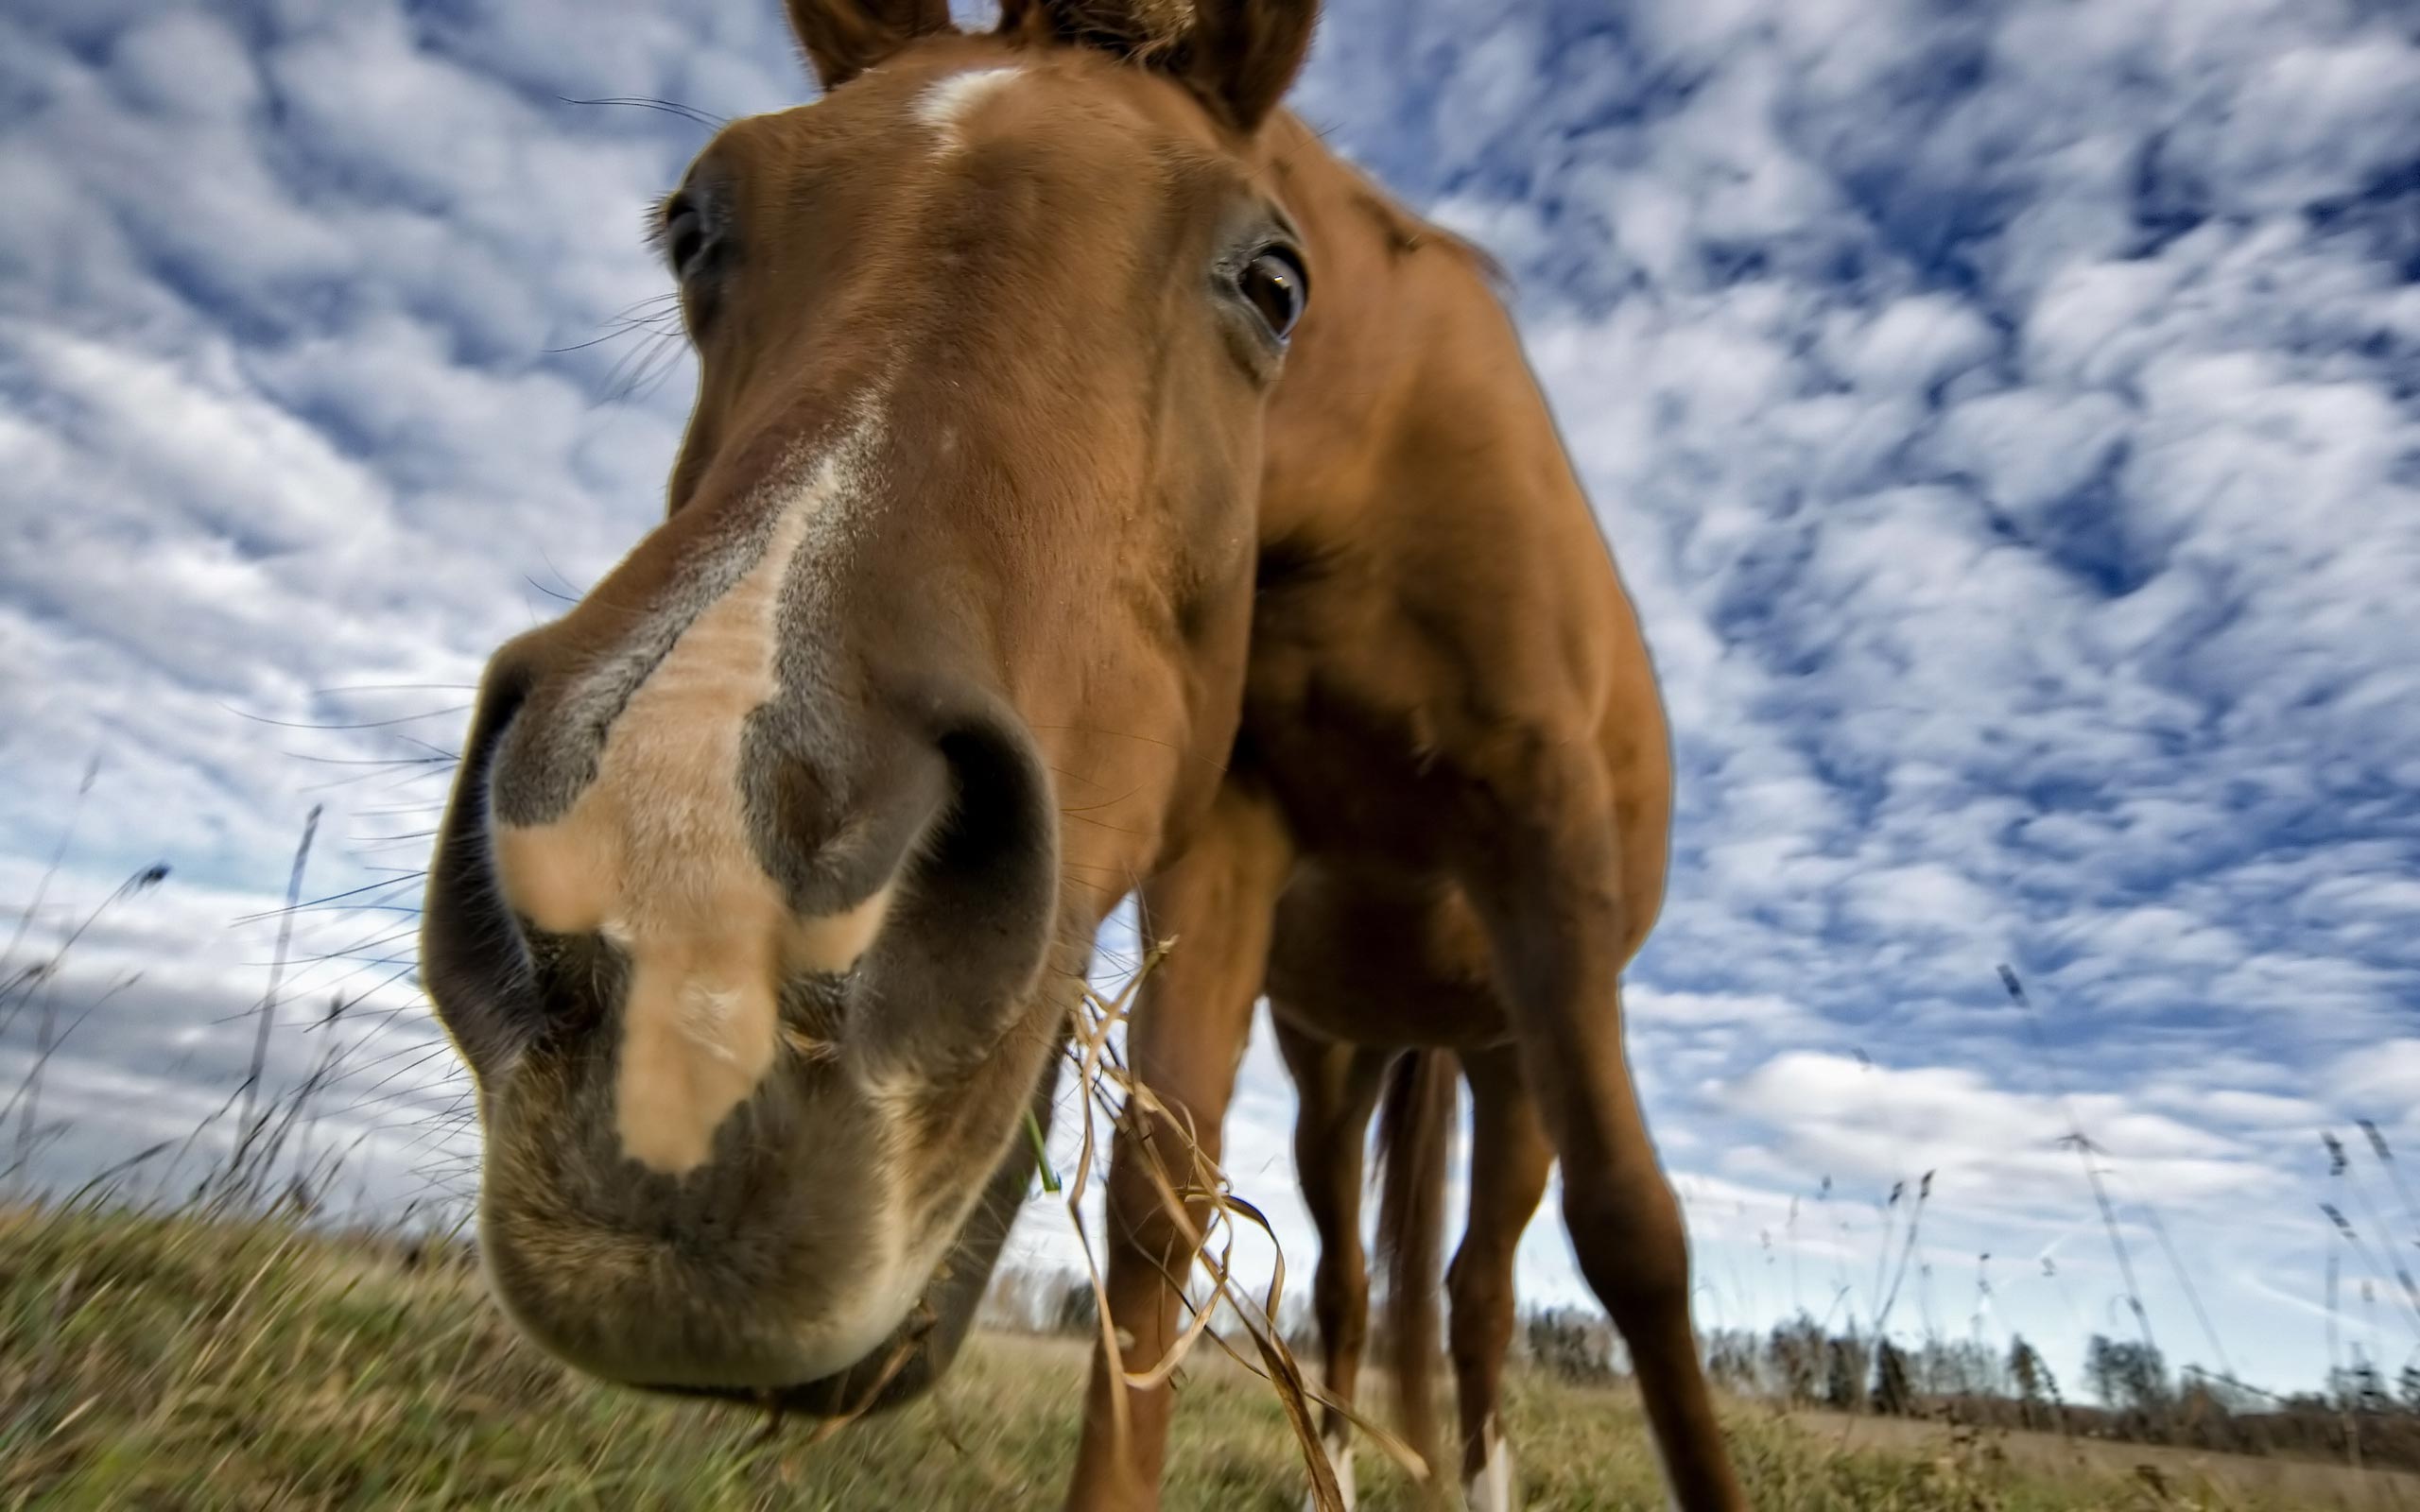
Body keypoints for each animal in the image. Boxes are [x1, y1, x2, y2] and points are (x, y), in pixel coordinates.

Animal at [416, 3, 1742, 1509]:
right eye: (694, 227)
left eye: (1275, 283)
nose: (687, 923)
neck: (1375, 475)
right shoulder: (1226, 838)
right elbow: (1160, 1210)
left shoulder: (1546, 839)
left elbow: (1635, 1237)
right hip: (1338, 1057)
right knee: (1355, 1280)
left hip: (1511, 1047)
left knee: (1479, 1289)